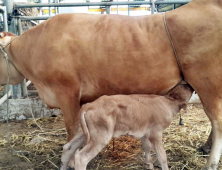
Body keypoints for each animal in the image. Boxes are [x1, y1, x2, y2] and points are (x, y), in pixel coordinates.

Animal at [59, 82, 193, 170]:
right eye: (186, 87)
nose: (188, 83)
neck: (168, 102)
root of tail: (89, 105)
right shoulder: (156, 132)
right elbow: (162, 156)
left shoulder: (144, 132)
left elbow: (146, 148)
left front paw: (148, 165)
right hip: (101, 135)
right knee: (81, 158)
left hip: (86, 132)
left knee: (68, 147)